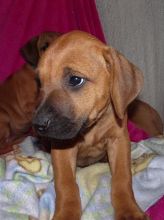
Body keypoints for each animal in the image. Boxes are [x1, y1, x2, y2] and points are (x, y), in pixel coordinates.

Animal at [33, 30, 149, 218]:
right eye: (39, 82)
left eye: (75, 80)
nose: (38, 125)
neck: (91, 127)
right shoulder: (61, 148)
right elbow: (66, 185)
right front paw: (66, 213)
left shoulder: (119, 141)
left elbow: (122, 178)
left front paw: (128, 209)